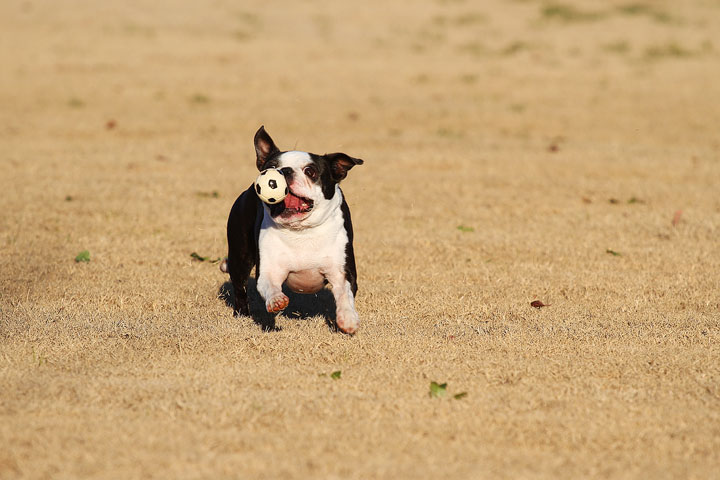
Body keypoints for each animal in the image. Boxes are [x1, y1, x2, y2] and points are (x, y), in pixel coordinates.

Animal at [221, 125, 366, 332]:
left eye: (310, 171)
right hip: (240, 256)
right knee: (240, 287)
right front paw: (276, 300)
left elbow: (345, 295)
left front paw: (348, 319)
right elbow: (270, 286)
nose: (285, 170)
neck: (302, 231)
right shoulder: (269, 270)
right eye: (271, 167)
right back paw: (242, 315)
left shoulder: (342, 272)